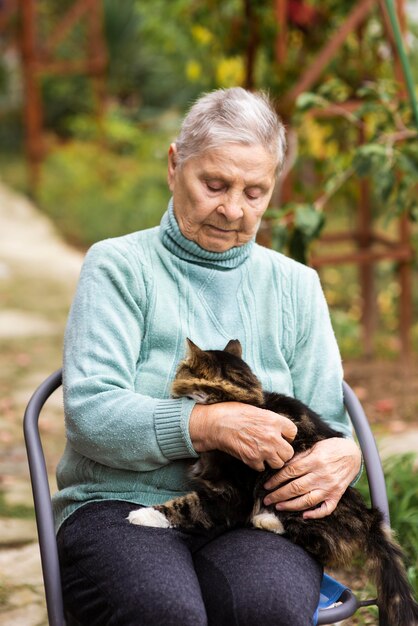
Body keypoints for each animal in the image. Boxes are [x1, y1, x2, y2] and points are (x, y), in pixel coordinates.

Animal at [130, 338, 418, 624]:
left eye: (181, 370)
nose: (172, 384)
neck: (240, 396)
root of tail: (369, 516)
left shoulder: (231, 496)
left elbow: (185, 507)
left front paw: (144, 515)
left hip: (294, 499)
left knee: (319, 544)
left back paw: (266, 520)